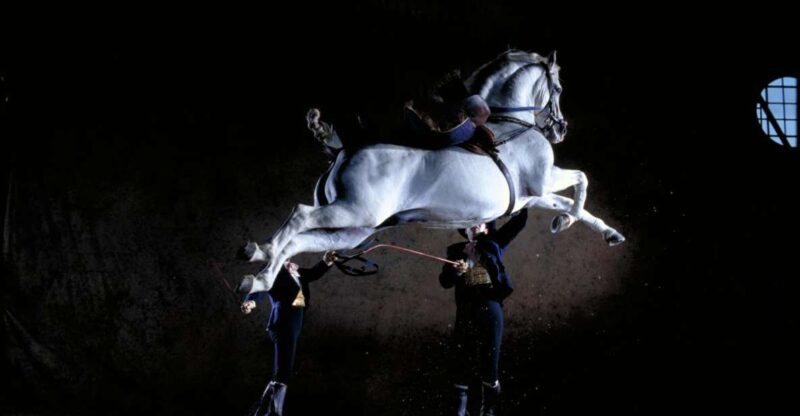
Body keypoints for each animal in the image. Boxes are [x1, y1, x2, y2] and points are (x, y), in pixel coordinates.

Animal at [238, 50, 625, 295]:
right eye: (557, 87)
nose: (560, 129)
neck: (510, 124)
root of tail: (342, 150)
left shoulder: (530, 196)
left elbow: (571, 202)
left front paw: (605, 232)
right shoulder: (544, 180)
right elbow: (582, 180)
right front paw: (565, 222)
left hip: (352, 231)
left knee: (300, 241)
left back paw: (258, 273)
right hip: (353, 211)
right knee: (299, 216)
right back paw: (260, 257)